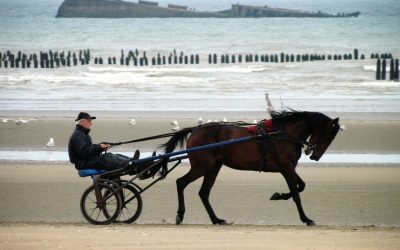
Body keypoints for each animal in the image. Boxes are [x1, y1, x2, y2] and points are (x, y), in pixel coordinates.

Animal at [161, 110, 342, 226]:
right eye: (329, 135)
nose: (315, 156)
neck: (282, 135)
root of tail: (196, 129)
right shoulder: (286, 169)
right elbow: (297, 194)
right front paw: (306, 219)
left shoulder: (289, 168)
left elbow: (301, 186)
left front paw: (278, 195)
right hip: (202, 167)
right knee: (181, 182)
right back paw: (180, 214)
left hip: (213, 167)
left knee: (204, 192)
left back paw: (217, 219)